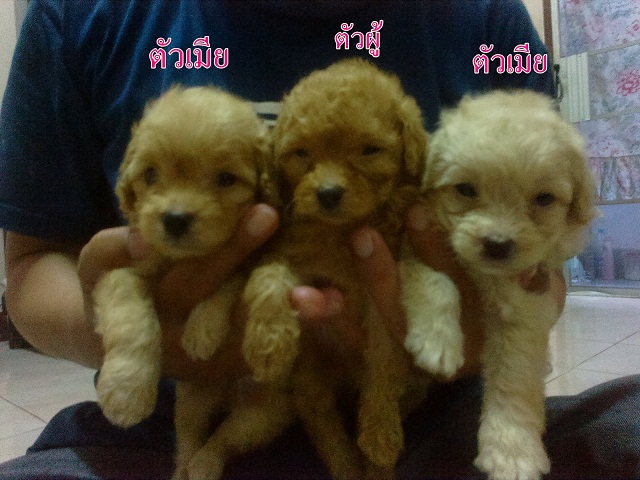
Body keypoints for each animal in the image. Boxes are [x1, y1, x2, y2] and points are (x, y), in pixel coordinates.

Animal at [91, 85, 290, 480]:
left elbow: (229, 277)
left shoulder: (249, 254)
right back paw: (184, 467)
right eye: (151, 175)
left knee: (223, 439)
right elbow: (132, 318)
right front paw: (127, 390)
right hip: (191, 400)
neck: (185, 259)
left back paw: (204, 465)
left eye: (226, 179)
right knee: (187, 436)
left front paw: (203, 329)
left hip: (266, 413)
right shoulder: (126, 270)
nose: (175, 219)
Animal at [242, 58, 428, 478]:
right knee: (323, 424)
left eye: (369, 150)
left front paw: (379, 431)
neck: (339, 232)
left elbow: (382, 359)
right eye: (301, 153)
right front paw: (268, 343)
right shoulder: (291, 256)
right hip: (310, 378)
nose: (327, 194)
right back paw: (345, 465)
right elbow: (268, 279)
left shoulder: (382, 295)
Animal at [400, 90, 597, 480]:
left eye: (543, 199)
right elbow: (436, 279)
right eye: (465, 189)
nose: (497, 244)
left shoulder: (525, 308)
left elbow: (514, 378)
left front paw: (512, 451)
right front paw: (437, 342)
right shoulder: (410, 240)